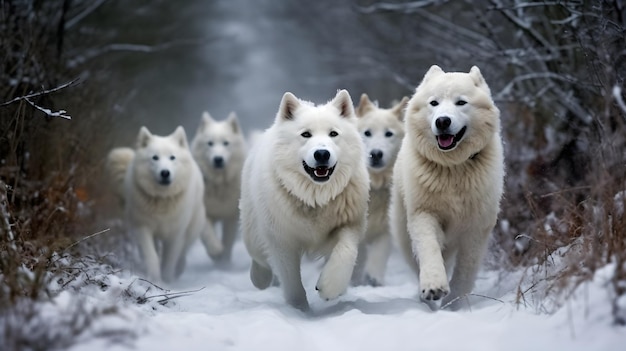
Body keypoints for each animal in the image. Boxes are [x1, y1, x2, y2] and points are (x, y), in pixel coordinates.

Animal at [106, 126, 222, 284]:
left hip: (192, 229)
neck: (162, 199)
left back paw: (179, 269)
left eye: (172, 157)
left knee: (183, 252)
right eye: (155, 157)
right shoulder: (143, 228)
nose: (165, 173)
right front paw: (155, 279)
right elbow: (152, 256)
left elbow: (170, 259)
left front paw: (167, 280)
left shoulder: (176, 234)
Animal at [190, 111, 246, 266]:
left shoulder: (231, 216)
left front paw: (224, 262)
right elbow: (207, 234)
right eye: (210, 143)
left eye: (226, 143)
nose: (218, 159)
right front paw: (215, 251)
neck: (218, 184)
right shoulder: (204, 212)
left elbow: (228, 241)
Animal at [238, 90, 366, 310]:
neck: (314, 198)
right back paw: (260, 279)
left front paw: (330, 288)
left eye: (333, 134)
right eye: (306, 134)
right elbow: (291, 281)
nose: (322, 153)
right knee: (259, 258)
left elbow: (346, 252)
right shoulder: (282, 241)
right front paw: (299, 309)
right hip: (253, 232)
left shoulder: (349, 224)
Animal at [352, 92, 410, 288]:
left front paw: (373, 278)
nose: (376, 154)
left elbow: (379, 254)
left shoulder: (385, 229)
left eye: (389, 134)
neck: (374, 186)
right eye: (367, 133)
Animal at [390, 66, 502, 310]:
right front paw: (434, 287)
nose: (442, 121)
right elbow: (430, 249)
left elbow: (465, 270)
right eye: (434, 103)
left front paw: (455, 303)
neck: (453, 168)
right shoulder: (424, 214)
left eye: (461, 102)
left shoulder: (476, 227)